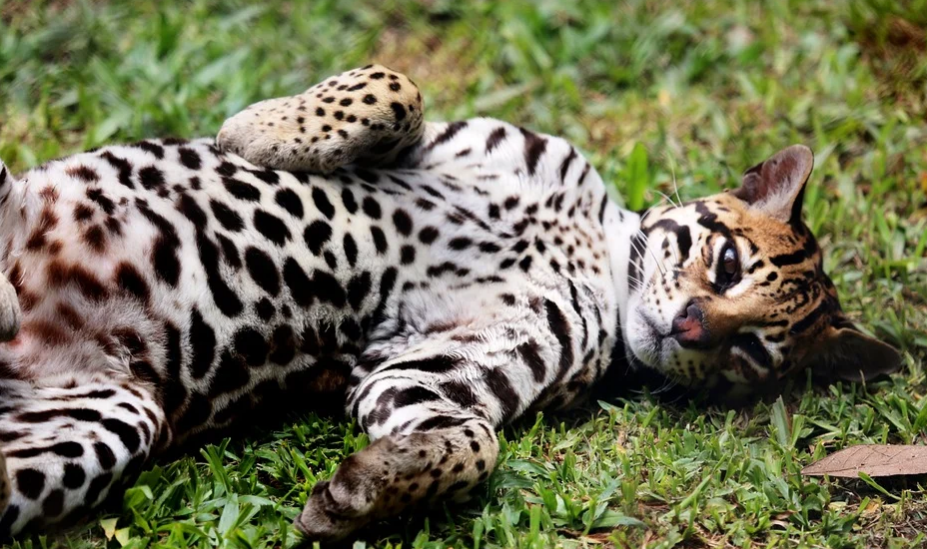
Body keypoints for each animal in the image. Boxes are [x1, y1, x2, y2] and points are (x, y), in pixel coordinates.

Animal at [0, 64, 901, 542]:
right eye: (724, 263)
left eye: (747, 353)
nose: (690, 326)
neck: (592, 248)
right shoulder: (454, 142)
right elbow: (394, 84)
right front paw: (257, 129)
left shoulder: (424, 374)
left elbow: (473, 442)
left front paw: (361, 492)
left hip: (101, 424)